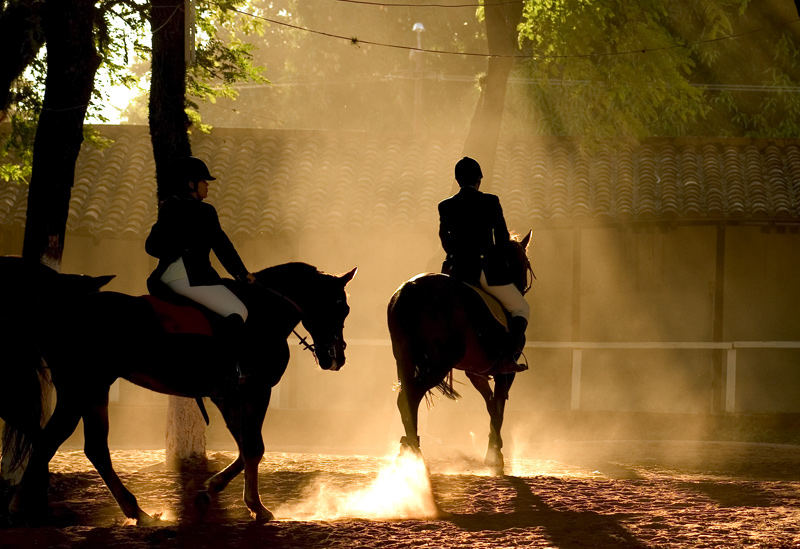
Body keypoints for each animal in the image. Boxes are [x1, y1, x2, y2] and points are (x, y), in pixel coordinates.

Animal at [3, 262, 354, 524]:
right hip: (82, 387)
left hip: (92, 389)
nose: (336, 358)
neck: (261, 316)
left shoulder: (231, 395)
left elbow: (246, 447)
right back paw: (24, 506)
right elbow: (254, 447)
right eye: (340, 307)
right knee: (57, 440)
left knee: (89, 447)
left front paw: (212, 488)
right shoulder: (250, 391)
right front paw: (256, 507)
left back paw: (135, 512)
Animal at [386, 229, 532, 474]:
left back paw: (409, 450)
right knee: (410, 397)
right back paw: (414, 451)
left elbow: (491, 406)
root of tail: (410, 289)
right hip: (439, 363)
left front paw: (493, 451)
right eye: (525, 264)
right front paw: (496, 455)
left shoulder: (476, 372)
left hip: (405, 358)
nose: (521, 287)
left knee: (405, 398)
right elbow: (499, 406)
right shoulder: (506, 371)